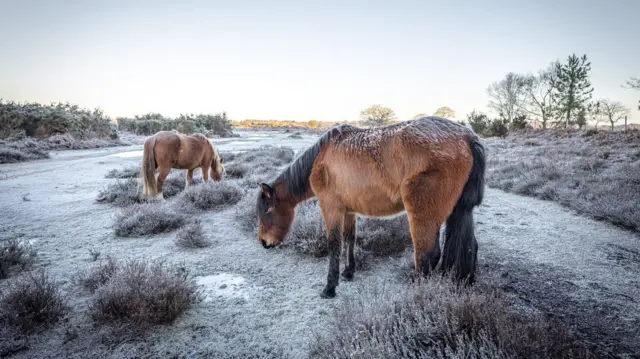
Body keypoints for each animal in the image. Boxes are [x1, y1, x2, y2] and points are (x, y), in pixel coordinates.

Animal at [255, 116, 484, 300]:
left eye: (266, 212)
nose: (264, 243)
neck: (321, 159)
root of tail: (467, 137)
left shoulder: (331, 208)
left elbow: (334, 244)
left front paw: (330, 287)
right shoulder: (348, 210)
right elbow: (350, 239)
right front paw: (349, 272)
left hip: (422, 215)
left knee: (427, 255)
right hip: (460, 211)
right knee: (469, 247)